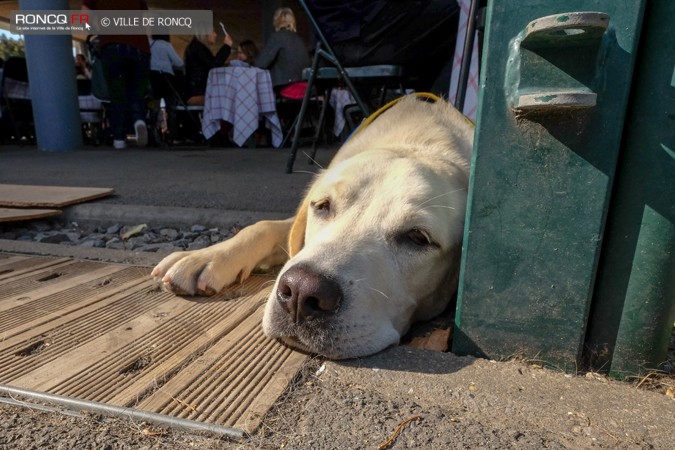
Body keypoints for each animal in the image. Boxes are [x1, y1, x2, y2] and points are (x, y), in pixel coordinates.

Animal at [151, 96, 472, 358]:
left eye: (418, 238)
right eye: (322, 206)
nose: (301, 291)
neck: (422, 140)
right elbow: (261, 226)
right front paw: (204, 257)